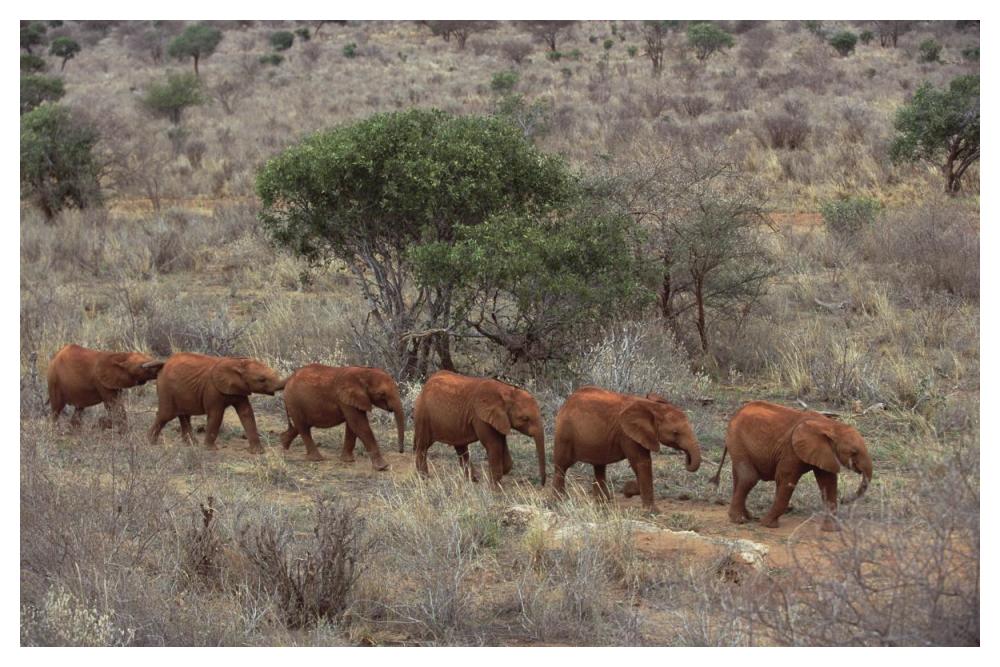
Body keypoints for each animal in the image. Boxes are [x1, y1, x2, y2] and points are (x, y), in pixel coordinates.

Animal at [148, 352, 286, 453]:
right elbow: (216, 415)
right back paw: (150, 442)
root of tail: (164, 363)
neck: (237, 363)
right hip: (166, 388)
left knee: (184, 415)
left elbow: (247, 413)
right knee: (166, 414)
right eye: (261, 379)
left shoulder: (239, 389)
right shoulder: (212, 389)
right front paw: (210, 449)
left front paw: (258, 452)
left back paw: (192, 444)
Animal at [413, 370, 546, 486]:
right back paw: (424, 479)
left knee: (461, 449)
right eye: (525, 418)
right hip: (423, 415)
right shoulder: (480, 417)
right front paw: (495, 488)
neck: (506, 391)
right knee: (422, 446)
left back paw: (473, 480)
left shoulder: (499, 419)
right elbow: (494, 445)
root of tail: (425, 386)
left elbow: (502, 446)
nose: (542, 484)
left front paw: (500, 475)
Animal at [553, 387, 702, 510]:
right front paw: (651, 511)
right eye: (675, 433)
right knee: (562, 466)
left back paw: (603, 503)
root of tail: (567, 401)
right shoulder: (628, 435)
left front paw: (629, 490)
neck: (652, 406)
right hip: (565, 433)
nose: (687, 456)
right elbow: (642, 462)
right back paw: (559, 502)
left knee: (599, 467)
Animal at [710, 401, 873, 531]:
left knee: (739, 477)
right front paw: (767, 525)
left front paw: (831, 530)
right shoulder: (791, 450)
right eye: (854, 452)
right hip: (737, 439)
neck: (830, 425)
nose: (845, 499)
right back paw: (739, 520)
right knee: (749, 477)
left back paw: (747, 516)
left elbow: (828, 484)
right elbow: (785, 480)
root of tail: (736, 413)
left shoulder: (823, 452)